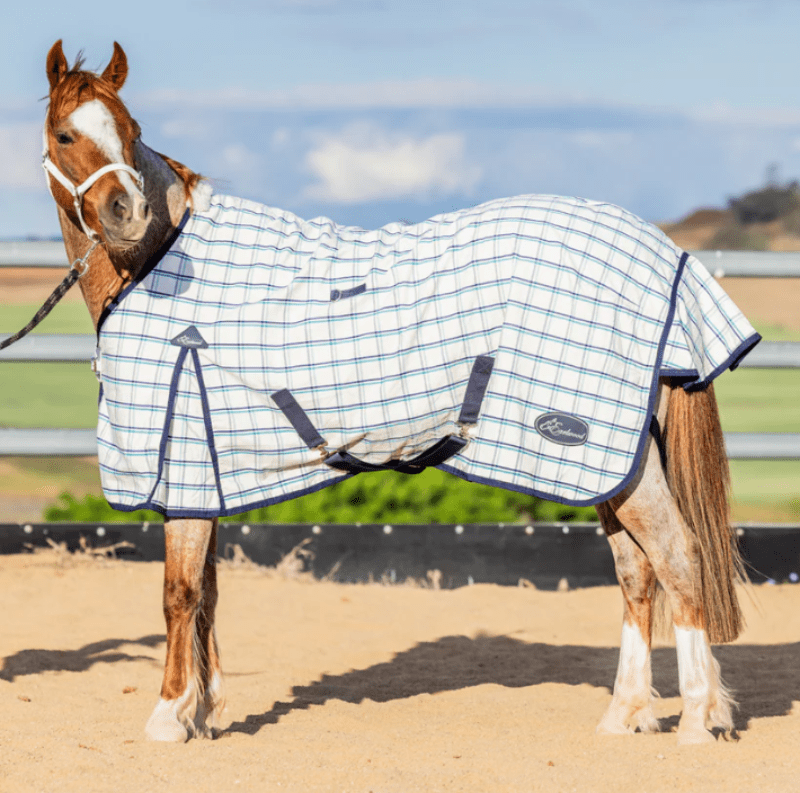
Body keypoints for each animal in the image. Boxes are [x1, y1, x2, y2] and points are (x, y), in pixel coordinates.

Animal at [41, 40, 760, 745]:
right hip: (609, 462)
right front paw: (205, 711)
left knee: (678, 556)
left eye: (132, 131)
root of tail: (662, 253)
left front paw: (169, 715)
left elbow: (180, 591)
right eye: (65, 133)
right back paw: (627, 713)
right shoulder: (207, 471)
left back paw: (697, 719)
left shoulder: (183, 454)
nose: (127, 213)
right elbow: (209, 591)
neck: (159, 264)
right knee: (637, 571)